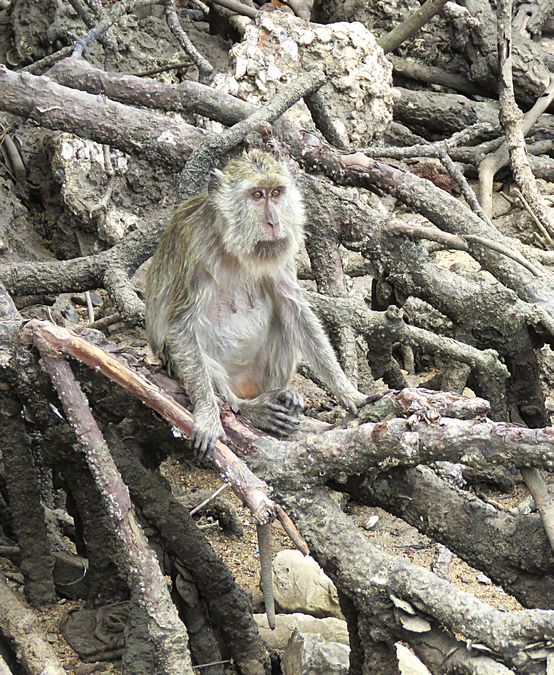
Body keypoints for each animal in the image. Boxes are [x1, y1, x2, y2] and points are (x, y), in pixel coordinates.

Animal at [145, 149, 367, 459]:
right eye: (257, 195)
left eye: (276, 193)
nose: (274, 222)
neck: (233, 247)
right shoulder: (195, 249)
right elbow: (180, 327)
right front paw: (208, 416)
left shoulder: (280, 256)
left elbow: (295, 310)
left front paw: (349, 391)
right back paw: (251, 409)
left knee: (285, 323)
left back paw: (281, 394)